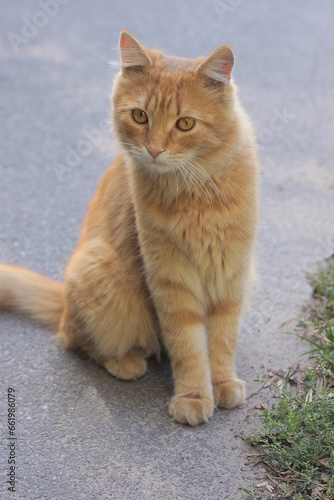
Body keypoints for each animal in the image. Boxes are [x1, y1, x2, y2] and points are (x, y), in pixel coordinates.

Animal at [0, 30, 258, 426]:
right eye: (140, 116)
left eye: (185, 124)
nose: (153, 150)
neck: (196, 193)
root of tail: (63, 303)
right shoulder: (170, 279)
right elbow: (188, 346)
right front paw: (194, 396)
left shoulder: (232, 275)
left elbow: (222, 341)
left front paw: (223, 383)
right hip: (100, 274)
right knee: (76, 342)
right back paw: (126, 362)